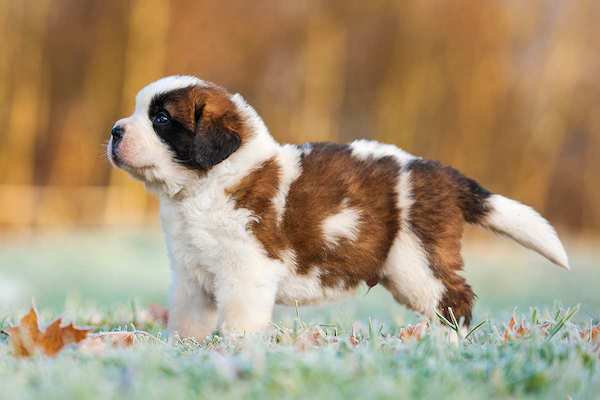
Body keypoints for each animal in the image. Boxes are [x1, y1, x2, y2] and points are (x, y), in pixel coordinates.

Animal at [105, 75, 568, 338]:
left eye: (162, 119)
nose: (114, 131)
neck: (204, 187)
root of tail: (443, 174)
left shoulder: (246, 272)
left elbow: (239, 323)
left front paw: (235, 356)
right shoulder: (191, 277)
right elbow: (187, 321)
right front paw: (184, 353)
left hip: (416, 261)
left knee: (455, 300)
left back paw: (445, 345)